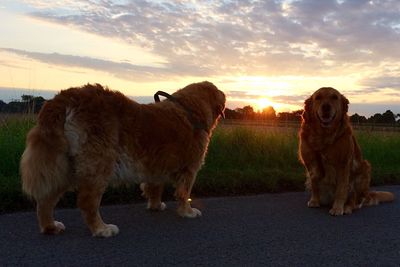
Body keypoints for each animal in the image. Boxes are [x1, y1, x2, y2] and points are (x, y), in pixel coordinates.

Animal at [21, 81, 225, 237]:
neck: (189, 110)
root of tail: (67, 96)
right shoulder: (189, 169)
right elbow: (184, 193)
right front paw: (187, 212)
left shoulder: (156, 166)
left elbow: (154, 188)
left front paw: (155, 206)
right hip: (99, 163)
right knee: (87, 202)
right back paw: (102, 229)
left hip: (64, 167)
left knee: (45, 201)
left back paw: (50, 226)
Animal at [298, 87, 396, 216]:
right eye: (318, 97)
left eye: (334, 97)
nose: (326, 107)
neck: (324, 136)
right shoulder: (311, 162)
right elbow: (314, 183)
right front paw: (314, 201)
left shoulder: (343, 164)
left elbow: (341, 189)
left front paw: (338, 208)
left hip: (364, 169)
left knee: (355, 199)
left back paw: (348, 207)